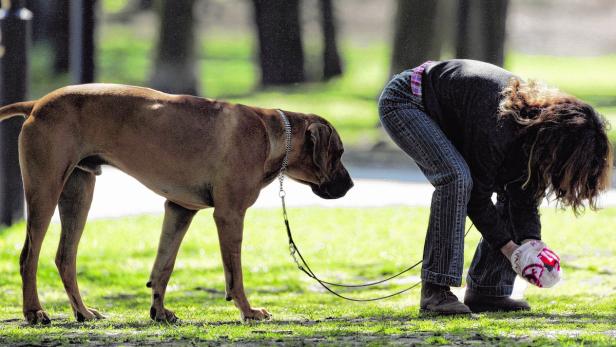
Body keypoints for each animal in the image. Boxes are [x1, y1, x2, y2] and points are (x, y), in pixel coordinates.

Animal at [0, 83, 354, 324]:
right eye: (338, 153)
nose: (351, 185)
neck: (273, 134)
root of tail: (37, 104)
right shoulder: (229, 214)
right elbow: (235, 273)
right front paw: (247, 310)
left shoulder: (180, 209)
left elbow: (164, 266)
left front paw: (159, 311)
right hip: (45, 190)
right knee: (29, 256)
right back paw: (34, 312)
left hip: (78, 192)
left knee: (65, 257)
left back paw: (83, 312)